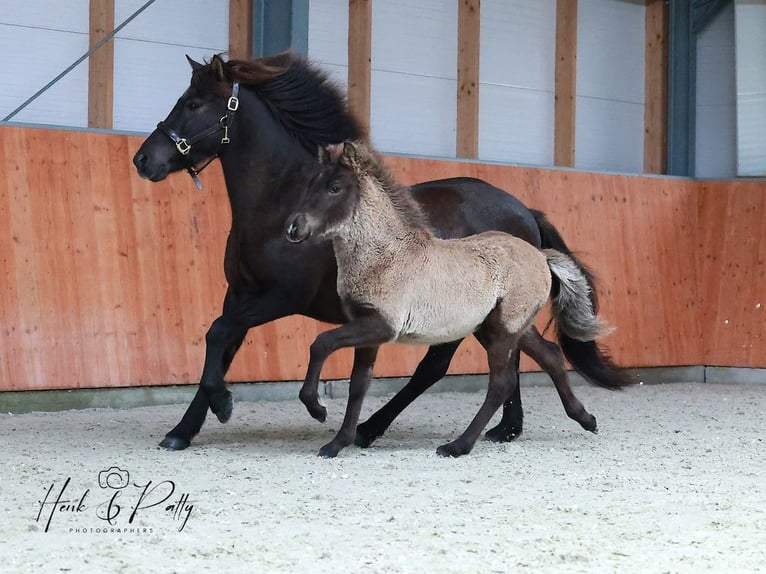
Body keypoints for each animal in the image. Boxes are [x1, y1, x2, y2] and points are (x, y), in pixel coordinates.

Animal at [284, 143, 616, 460]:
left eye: (335, 187)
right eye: (312, 183)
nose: (293, 228)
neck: (386, 254)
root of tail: (541, 255)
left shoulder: (380, 325)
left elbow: (322, 343)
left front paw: (317, 409)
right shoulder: (366, 327)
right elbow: (358, 385)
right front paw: (337, 444)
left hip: (503, 330)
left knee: (501, 382)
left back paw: (457, 446)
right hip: (503, 327)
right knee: (550, 356)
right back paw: (586, 418)